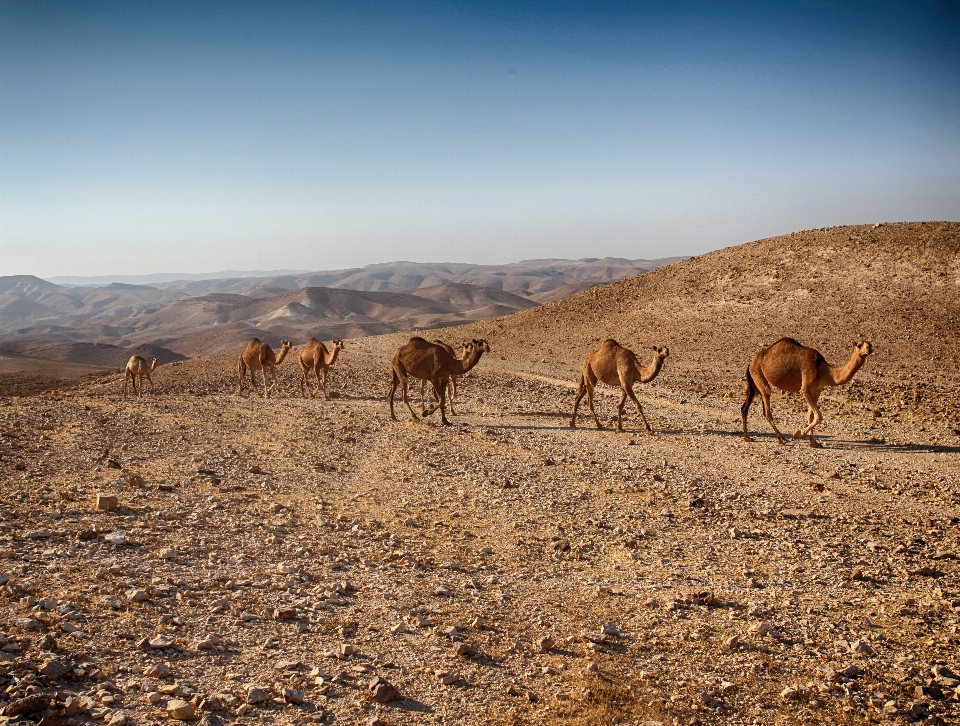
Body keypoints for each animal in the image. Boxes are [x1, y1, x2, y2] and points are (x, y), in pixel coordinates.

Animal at [740, 340, 872, 450]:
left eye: (870, 344)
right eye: (860, 345)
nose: (869, 349)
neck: (825, 371)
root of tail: (751, 363)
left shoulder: (817, 390)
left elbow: (811, 415)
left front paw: (814, 443)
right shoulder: (806, 389)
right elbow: (819, 416)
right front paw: (797, 434)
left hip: (754, 382)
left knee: (745, 407)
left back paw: (747, 437)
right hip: (758, 373)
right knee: (767, 406)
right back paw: (782, 439)